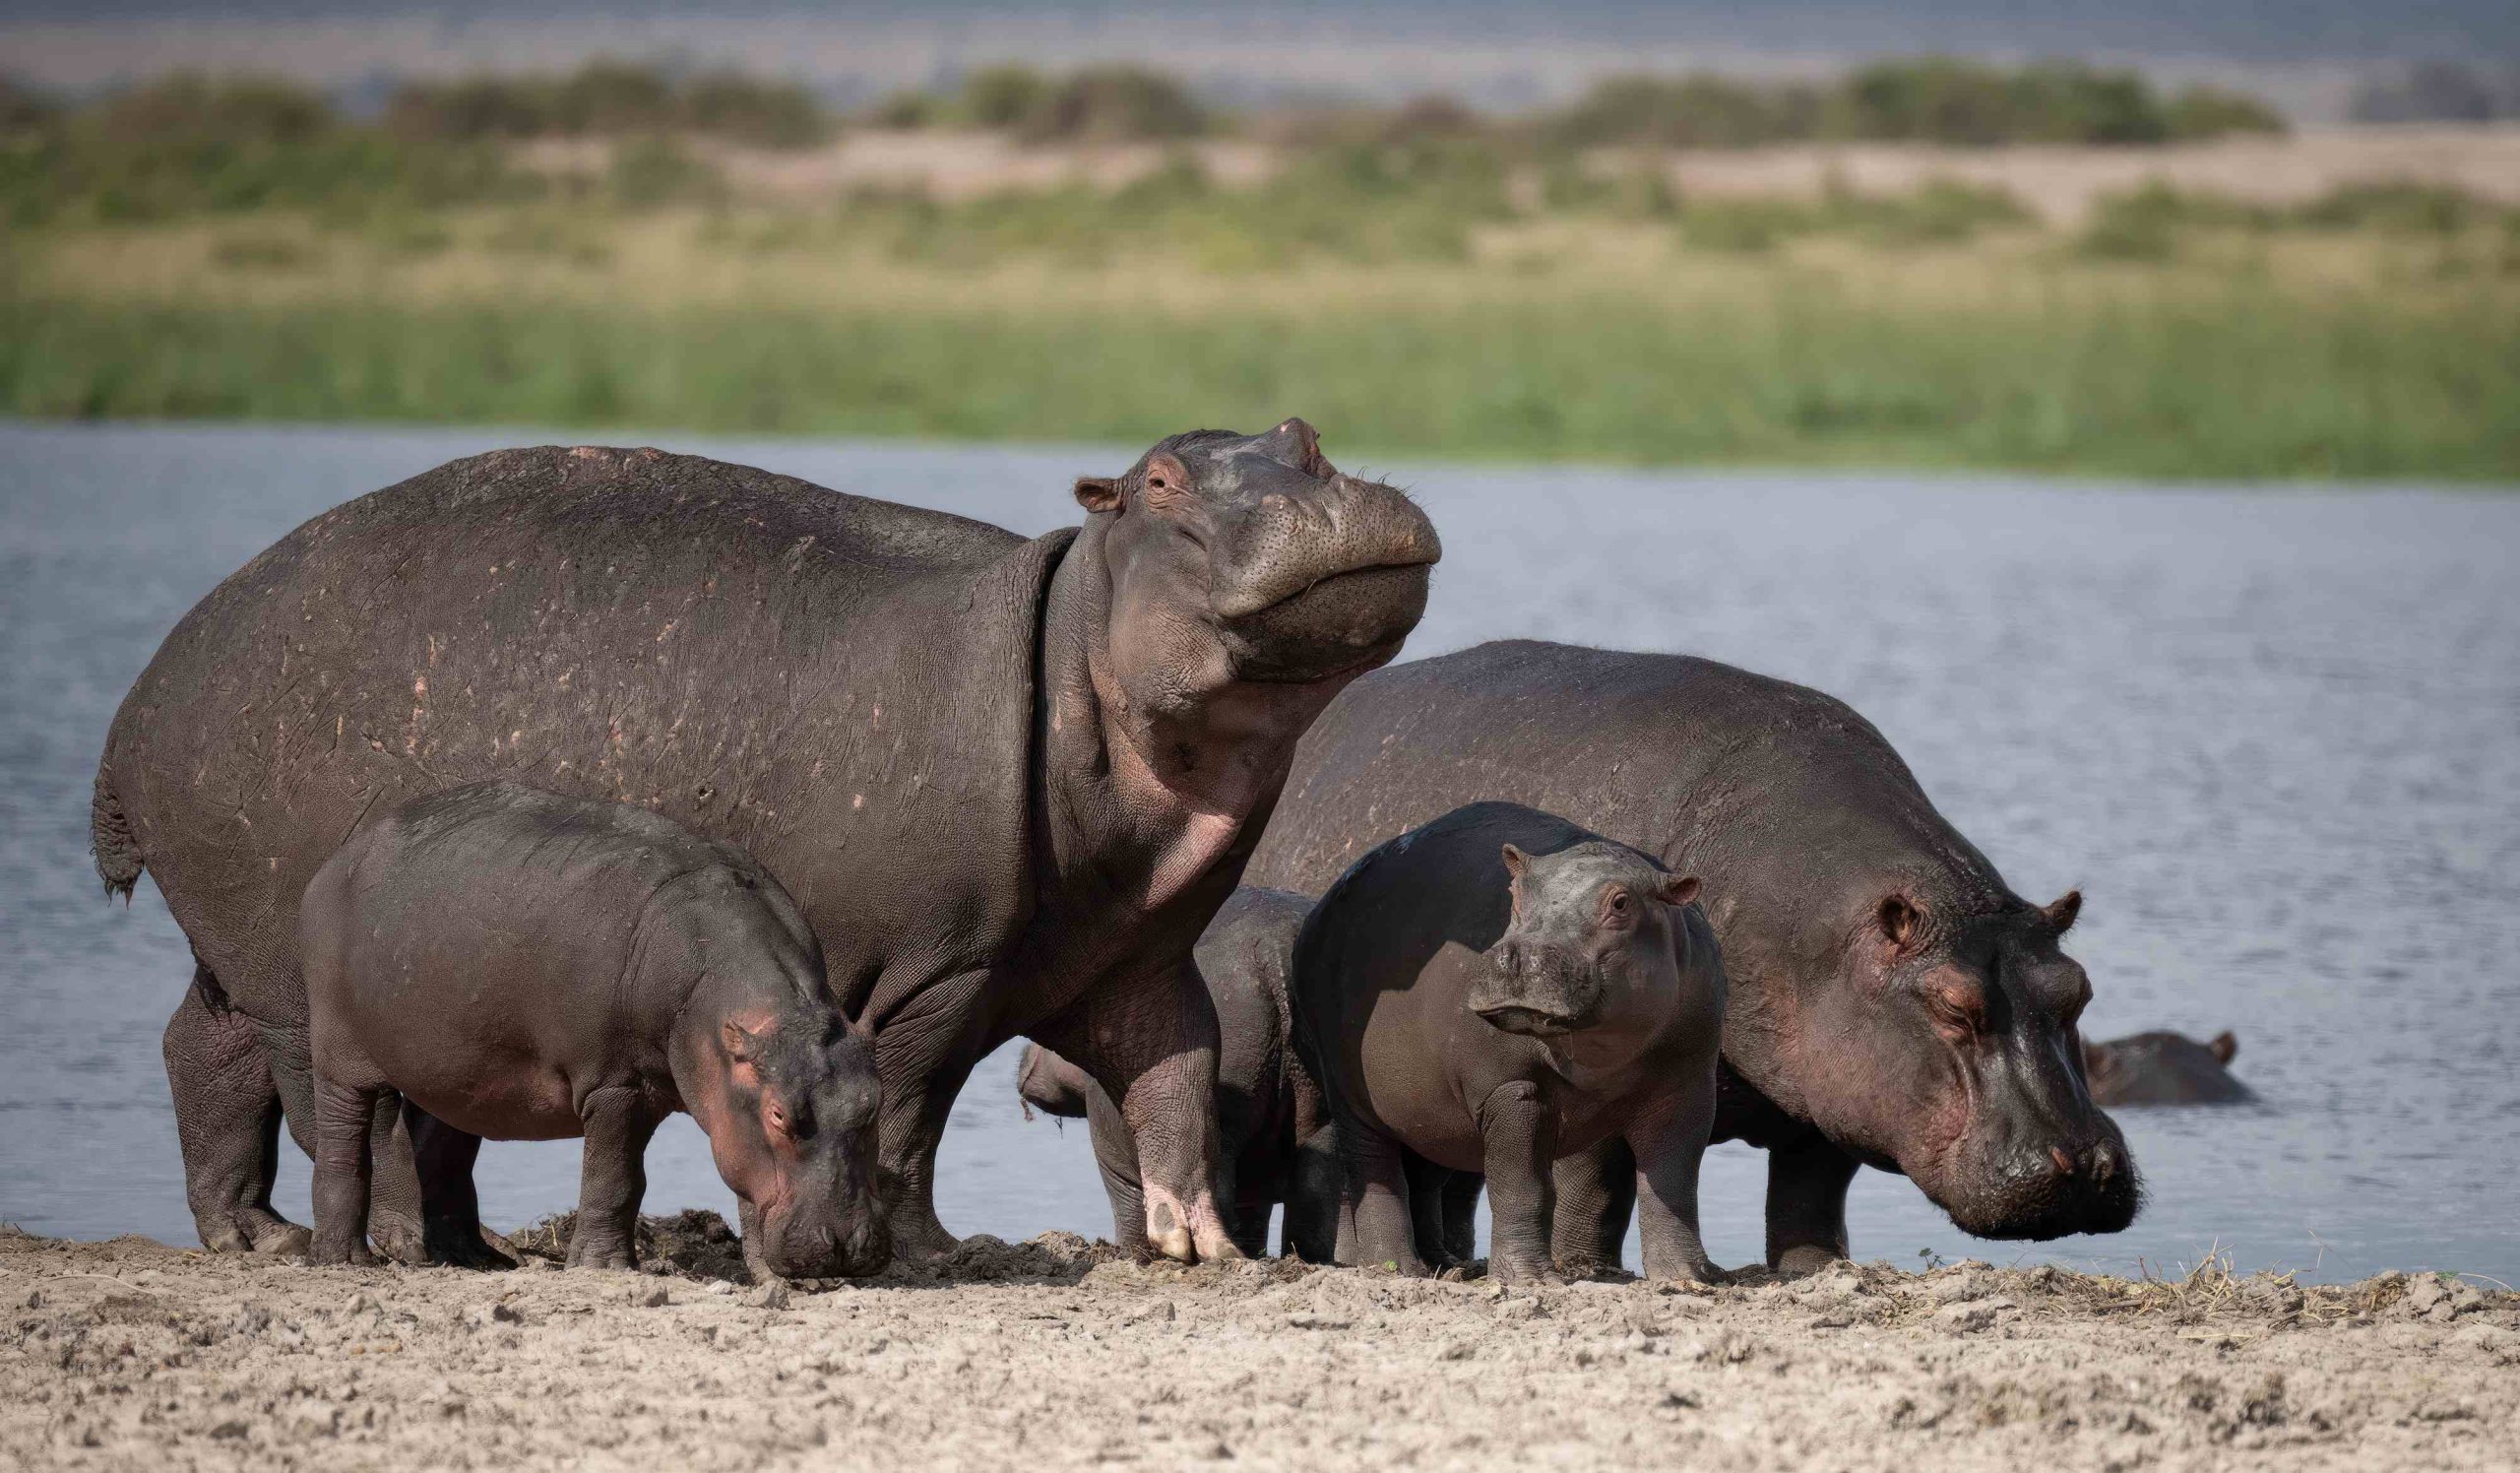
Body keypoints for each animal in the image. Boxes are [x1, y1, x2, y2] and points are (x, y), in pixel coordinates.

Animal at [301, 782, 889, 1277]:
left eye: (873, 1105)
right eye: (778, 1116)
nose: (845, 1247)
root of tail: (339, 860)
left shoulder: (729, 1099)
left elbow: (745, 1182)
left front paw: (772, 1276)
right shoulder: (615, 1083)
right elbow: (616, 1176)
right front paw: (601, 1267)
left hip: (452, 1068)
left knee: (423, 1142)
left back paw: (469, 1260)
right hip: (339, 1055)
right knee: (342, 1141)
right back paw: (343, 1259)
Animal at [1292, 803, 1725, 1284]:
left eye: (1621, 902)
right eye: (1514, 893)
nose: (1519, 954)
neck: (1599, 1054)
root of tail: (1320, 909)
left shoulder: (1688, 1087)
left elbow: (1673, 1184)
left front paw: (1690, 1276)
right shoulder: (1510, 1087)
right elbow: (1522, 1187)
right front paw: (1531, 1279)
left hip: (1428, 1104)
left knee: (1423, 1177)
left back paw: (1442, 1265)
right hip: (1350, 1093)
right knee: (1375, 1171)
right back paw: (1396, 1268)